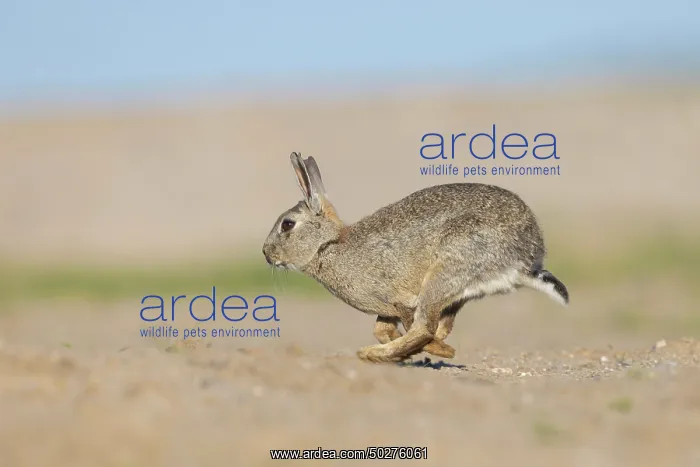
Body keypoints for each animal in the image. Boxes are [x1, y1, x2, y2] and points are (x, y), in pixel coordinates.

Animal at [262, 152, 569, 363]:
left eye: (287, 225)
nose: (266, 254)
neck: (328, 245)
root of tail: (527, 258)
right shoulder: (387, 308)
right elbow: (382, 329)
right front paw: (401, 347)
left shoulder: (400, 300)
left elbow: (411, 327)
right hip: (457, 287)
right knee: (441, 326)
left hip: (447, 269)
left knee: (426, 328)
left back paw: (376, 354)